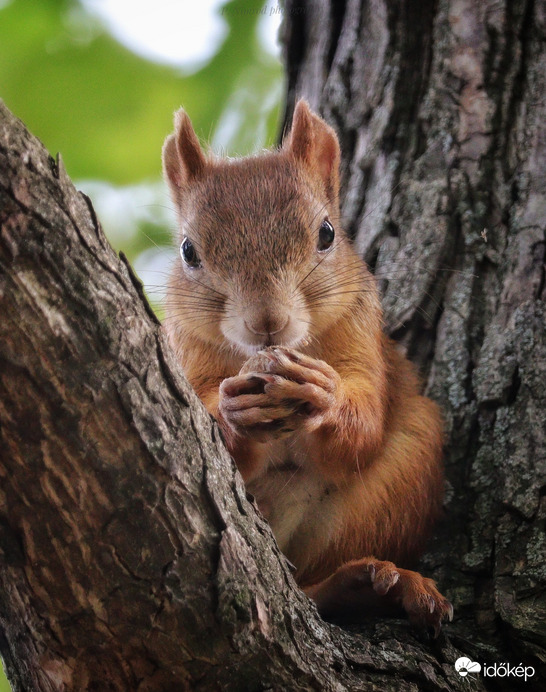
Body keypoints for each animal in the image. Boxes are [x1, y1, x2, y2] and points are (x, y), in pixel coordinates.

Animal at [162, 100, 450, 636]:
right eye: (189, 251)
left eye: (327, 234)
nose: (266, 321)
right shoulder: (185, 353)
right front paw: (231, 410)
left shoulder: (362, 338)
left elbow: (363, 428)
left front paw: (324, 394)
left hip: (395, 486)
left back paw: (374, 585)